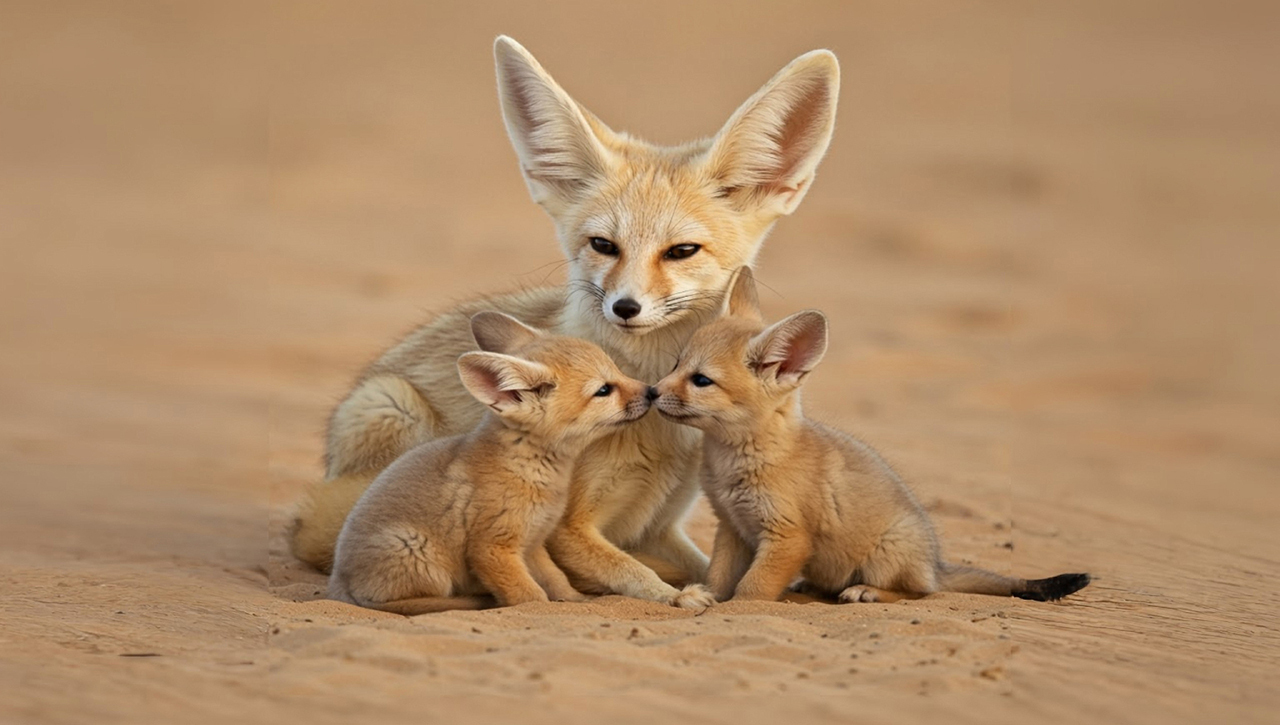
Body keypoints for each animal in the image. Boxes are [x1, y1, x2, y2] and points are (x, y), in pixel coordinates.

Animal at [328, 312, 656, 615]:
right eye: (603, 390)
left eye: (618, 370)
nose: (651, 391)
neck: (530, 468)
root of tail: (336, 583)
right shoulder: (492, 549)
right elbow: (529, 596)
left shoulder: (533, 545)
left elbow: (557, 581)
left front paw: (575, 602)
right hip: (419, 553)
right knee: (388, 603)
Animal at [651, 268, 1092, 604]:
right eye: (676, 364)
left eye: (701, 380)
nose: (653, 391)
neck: (739, 461)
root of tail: (935, 562)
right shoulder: (733, 528)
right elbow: (719, 580)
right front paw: (703, 600)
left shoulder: (787, 537)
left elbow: (751, 592)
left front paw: (734, 611)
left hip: (886, 556)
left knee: (923, 592)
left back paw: (867, 592)